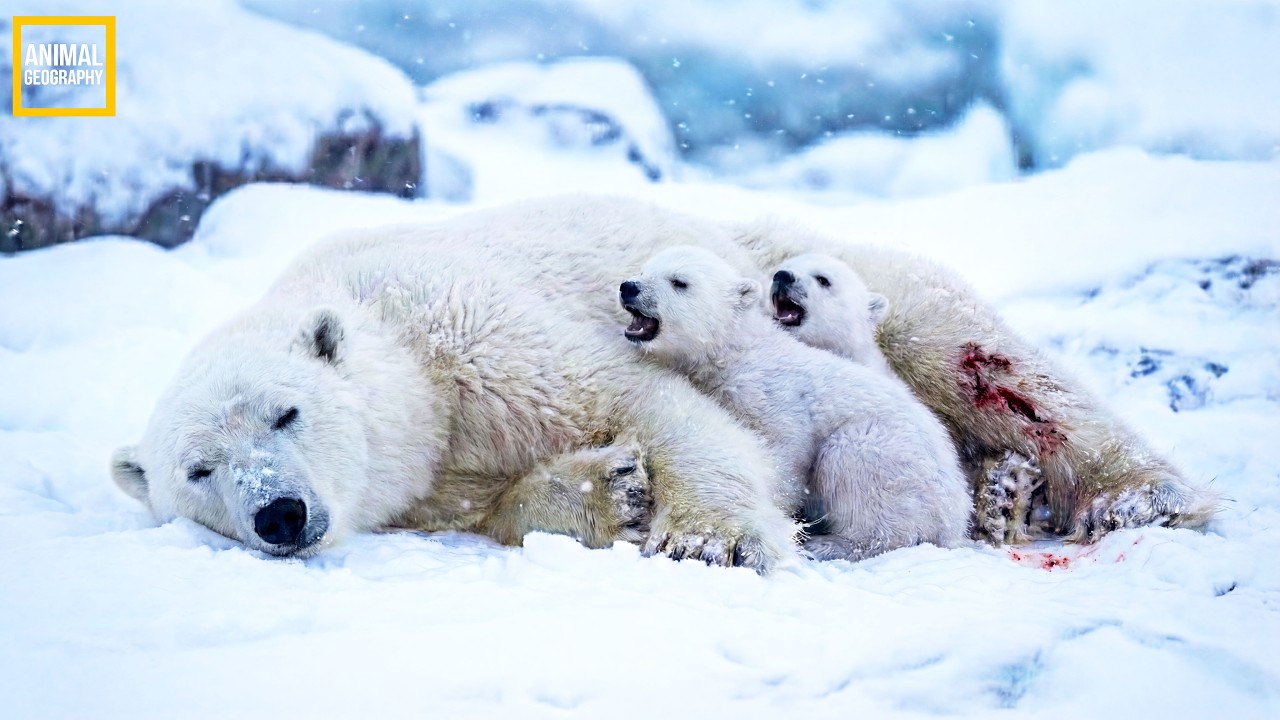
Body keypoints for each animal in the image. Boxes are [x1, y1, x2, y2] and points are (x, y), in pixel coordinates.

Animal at [619, 245, 972, 561]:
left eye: (679, 281)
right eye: (644, 270)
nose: (628, 287)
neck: (733, 353)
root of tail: (958, 517)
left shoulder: (770, 393)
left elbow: (785, 451)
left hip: (895, 462)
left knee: (856, 468)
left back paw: (830, 544)